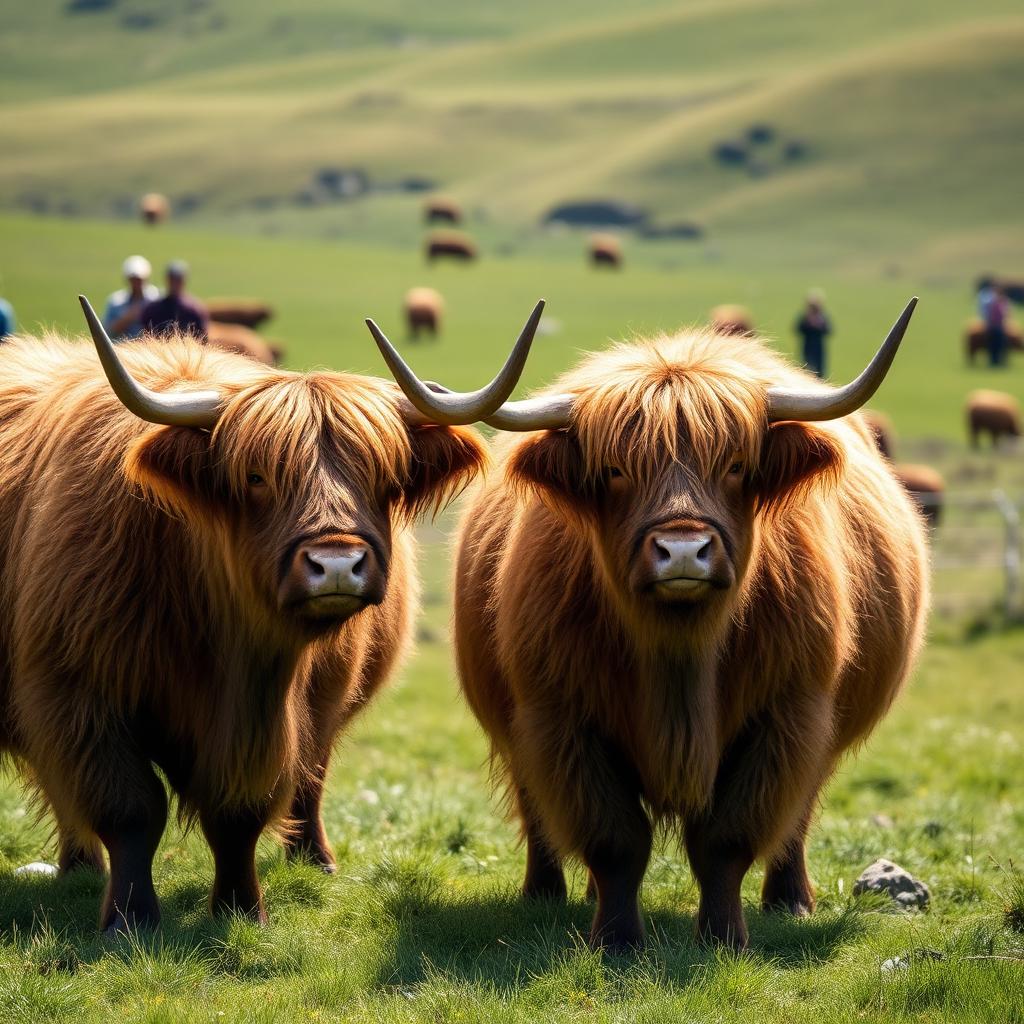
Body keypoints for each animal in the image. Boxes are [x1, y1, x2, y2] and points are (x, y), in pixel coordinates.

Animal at [0, 296, 543, 934]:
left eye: (381, 478)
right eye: (257, 477)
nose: (337, 565)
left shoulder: (279, 713)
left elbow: (241, 811)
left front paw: (241, 908)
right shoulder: (76, 694)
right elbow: (128, 809)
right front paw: (129, 920)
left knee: (310, 777)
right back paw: (80, 868)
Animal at [446, 299, 928, 952]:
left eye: (736, 465)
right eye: (615, 469)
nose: (682, 551)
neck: (679, 656)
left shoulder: (787, 714)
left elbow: (727, 838)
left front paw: (724, 936)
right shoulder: (558, 718)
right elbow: (614, 839)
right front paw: (617, 939)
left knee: (796, 817)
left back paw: (790, 900)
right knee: (538, 809)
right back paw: (544, 896)